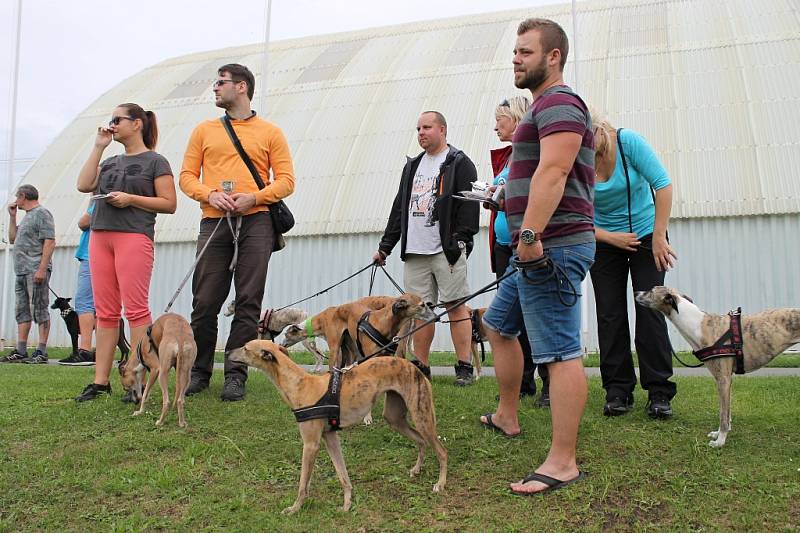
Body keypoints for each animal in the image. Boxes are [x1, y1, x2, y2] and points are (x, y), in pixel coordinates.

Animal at [228, 338, 446, 512]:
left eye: (245, 348)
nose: (228, 352)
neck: (299, 384)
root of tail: (414, 366)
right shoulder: (330, 438)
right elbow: (343, 476)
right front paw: (347, 504)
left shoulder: (311, 445)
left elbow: (303, 484)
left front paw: (294, 508)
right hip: (395, 418)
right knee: (421, 441)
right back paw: (416, 470)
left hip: (422, 416)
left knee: (442, 451)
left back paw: (440, 484)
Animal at [636, 286, 800, 444]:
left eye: (651, 290)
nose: (636, 292)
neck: (698, 324)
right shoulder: (728, 380)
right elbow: (727, 412)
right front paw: (719, 434)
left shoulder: (723, 379)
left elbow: (722, 414)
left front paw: (720, 440)